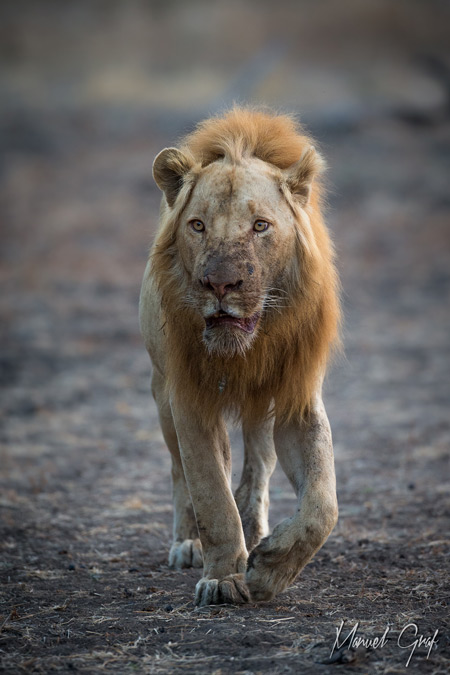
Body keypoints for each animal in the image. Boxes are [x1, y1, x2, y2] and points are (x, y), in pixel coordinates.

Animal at [139, 107, 340, 608]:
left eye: (260, 226)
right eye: (197, 226)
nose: (220, 284)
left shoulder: (297, 397)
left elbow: (322, 504)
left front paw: (270, 569)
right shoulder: (187, 398)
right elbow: (211, 493)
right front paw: (224, 578)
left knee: (257, 467)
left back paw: (257, 529)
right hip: (160, 393)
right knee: (181, 472)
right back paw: (189, 543)